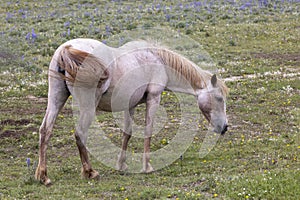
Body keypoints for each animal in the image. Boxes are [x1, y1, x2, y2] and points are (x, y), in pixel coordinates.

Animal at [35, 38, 227, 186]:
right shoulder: (154, 98)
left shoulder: (131, 105)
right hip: (88, 106)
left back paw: (43, 176)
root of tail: (66, 49)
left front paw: (121, 165)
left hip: (56, 98)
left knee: (46, 130)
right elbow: (148, 130)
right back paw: (90, 172)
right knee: (80, 133)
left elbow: (127, 133)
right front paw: (147, 167)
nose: (225, 127)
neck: (156, 59)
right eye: (219, 98)